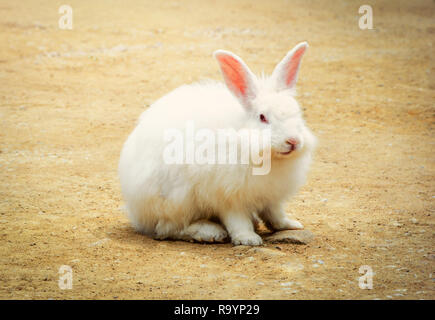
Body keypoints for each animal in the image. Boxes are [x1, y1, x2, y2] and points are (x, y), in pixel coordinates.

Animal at [119, 42, 316, 245]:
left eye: (297, 112)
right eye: (262, 117)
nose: (293, 141)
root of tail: (137, 215)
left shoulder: (271, 196)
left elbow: (275, 213)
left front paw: (290, 225)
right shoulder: (229, 196)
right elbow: (237, 220)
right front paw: (248, 239)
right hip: (177, 201)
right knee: (168, 229)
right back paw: (210, 232)